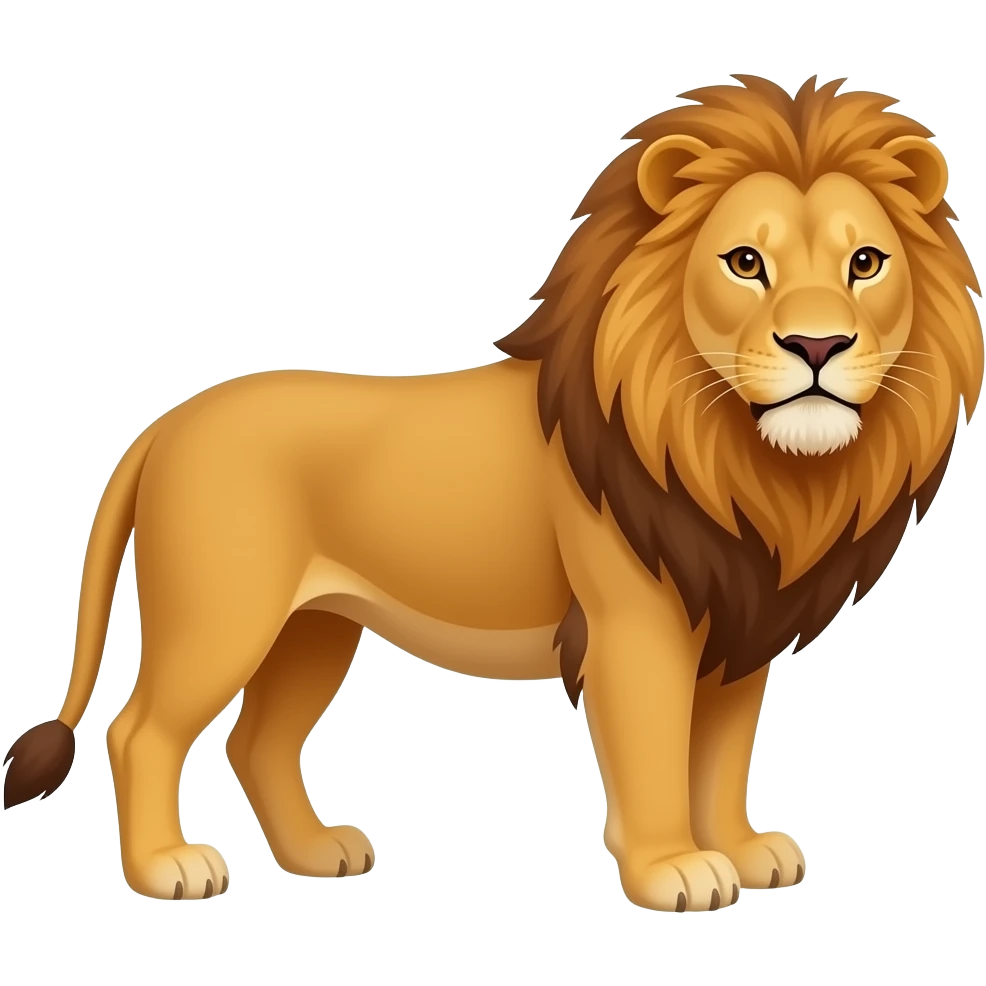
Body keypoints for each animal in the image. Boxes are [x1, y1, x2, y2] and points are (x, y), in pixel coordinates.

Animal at [2, 74, 982, 912]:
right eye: (745, 261)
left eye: (866, 262)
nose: (817, 345)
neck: (745, 462)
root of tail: (161, 426)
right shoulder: (636, 626)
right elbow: (656, 755)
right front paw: (675, 871)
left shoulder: (740, 625)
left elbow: (722, 756)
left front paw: (742, 852)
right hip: (223, 613)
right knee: (140, 732)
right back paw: (168, 869)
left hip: (314, 627)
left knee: (258, 741)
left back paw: (318, 854)